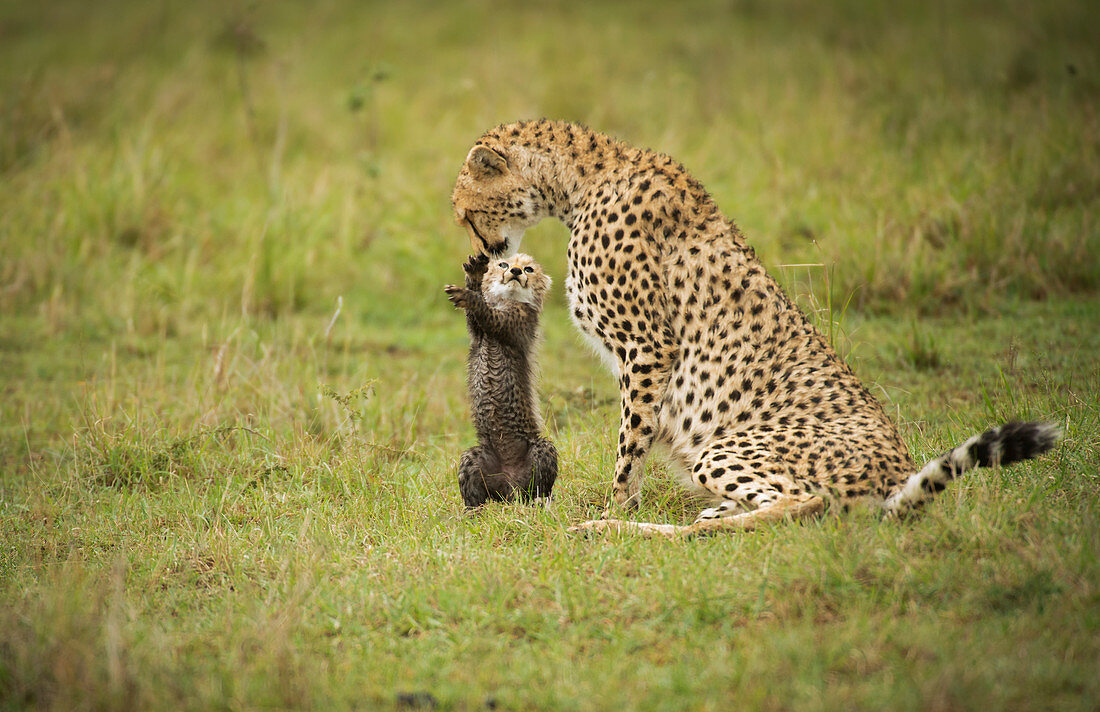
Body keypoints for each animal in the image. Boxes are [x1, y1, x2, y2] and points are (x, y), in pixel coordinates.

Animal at [451, 119, 1060, 537]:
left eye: (465, 212)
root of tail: (897, 472)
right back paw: (660, 525)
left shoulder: (648, 347)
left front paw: (613, 505)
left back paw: (612, 527)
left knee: (801, 505)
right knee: (740, 515)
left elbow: (630, 446)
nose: (486, 253)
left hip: (726, 448)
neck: (582, 181)